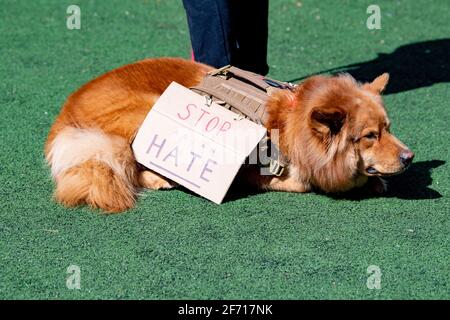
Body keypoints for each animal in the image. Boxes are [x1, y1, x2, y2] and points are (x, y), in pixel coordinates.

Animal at [45, 57, 414, 212]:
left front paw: (376, 180)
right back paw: (160, 178)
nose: (410, 157)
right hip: (148, 108)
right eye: (369, 136)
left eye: (388, 128)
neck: (288, 123)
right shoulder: (258, 170)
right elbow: (303, 180)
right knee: (131, 159)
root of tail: (66, 111)